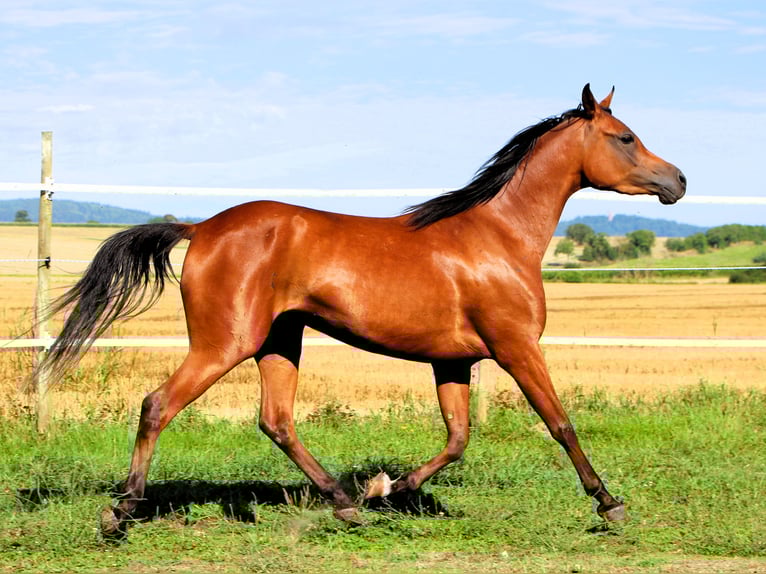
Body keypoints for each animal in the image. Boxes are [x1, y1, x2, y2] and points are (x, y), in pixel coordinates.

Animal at [40, 84, 686, 536]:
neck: (498, 236)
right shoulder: (516, 347)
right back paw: (121, 513)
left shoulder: (453, 361)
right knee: (157, 405)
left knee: (276, 421)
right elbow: (560, 423)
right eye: (625, 137)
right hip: (226, 343)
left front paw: (389, 489)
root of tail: (201, 228)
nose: (677, 180)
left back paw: (347, 505)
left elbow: (458, 437)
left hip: (280, 341)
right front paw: (609, 503)